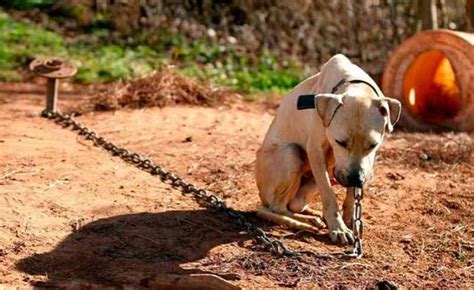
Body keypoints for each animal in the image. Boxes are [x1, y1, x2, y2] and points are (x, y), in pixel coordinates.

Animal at [256, 54, 400, 245]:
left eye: (373, 145)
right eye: (340, 142)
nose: (356, 179)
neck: (354, 84)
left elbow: (351, 196)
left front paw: (350, 220)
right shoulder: (316, 151)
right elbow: (329, 195)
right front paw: (339, 228)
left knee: (292, 205)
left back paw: (312, 215)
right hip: (291, 154)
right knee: (275, 208)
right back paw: (306, 222)